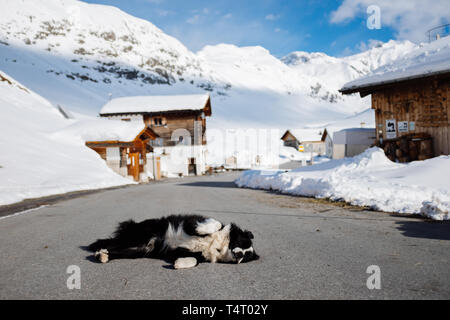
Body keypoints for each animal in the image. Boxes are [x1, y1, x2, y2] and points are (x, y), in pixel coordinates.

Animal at [87, 214, 258, 268]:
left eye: (246, 256)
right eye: (242, 243)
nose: (239, 256)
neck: (219, 246)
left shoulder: (188, 252)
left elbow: (194, 260)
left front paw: (178, 264)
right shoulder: (190, 222)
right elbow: (213, 225)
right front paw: (202, 230)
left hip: (138, 250)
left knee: (117, 250)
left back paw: (102, 256)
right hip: (140, 236)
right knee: (111, 243)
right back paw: (99, 251)